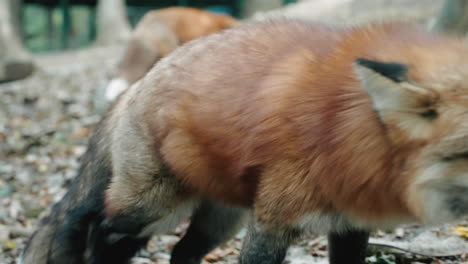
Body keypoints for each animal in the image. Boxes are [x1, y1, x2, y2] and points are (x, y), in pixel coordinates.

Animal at [20, 19, 468, 264]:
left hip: (222, 220)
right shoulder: (272, 222)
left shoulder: (350, 225)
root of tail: (139, 83)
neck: (341, 127)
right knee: (93, 223)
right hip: (152, 207)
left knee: (179, 252)